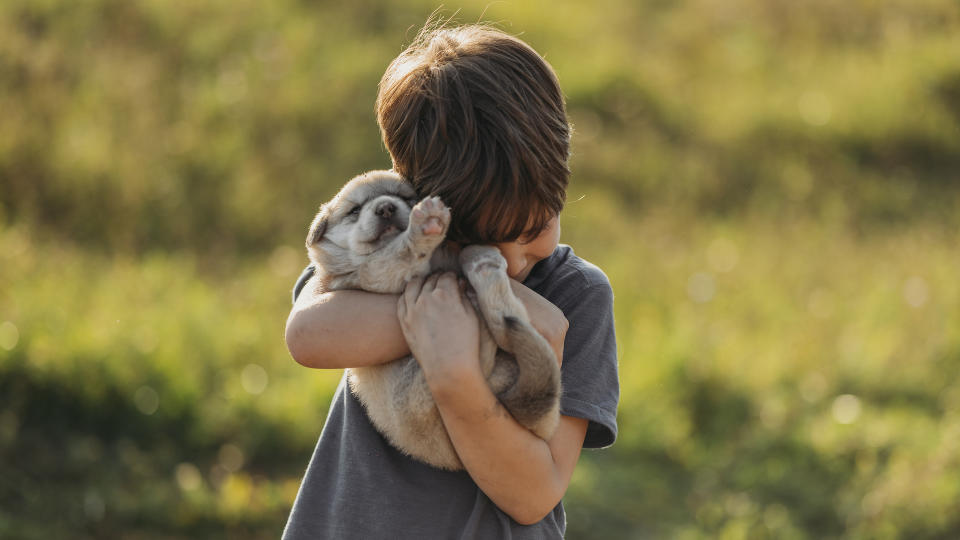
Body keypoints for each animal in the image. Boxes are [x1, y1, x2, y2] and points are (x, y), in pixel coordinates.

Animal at [306, 171, 564, 470]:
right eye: (354, 210)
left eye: (405, 197)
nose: (385, 208)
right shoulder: (377, 274)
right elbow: (396, 252)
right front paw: (423, 227)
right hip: (422, 388)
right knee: (485, 348)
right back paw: (482, 269)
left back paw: (481, 263)